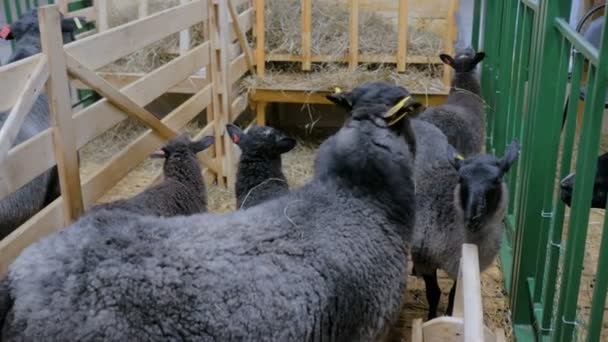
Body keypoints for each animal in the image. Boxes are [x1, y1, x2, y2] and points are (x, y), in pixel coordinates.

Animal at [410, 119, 520, 320]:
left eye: (497, 179)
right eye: (461, 179)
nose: (473, 217)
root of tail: (417, 121)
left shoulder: (464, 268)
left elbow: (455, 295)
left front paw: (450, 315)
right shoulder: (426, 260)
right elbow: (433, 293)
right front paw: (432, 318)